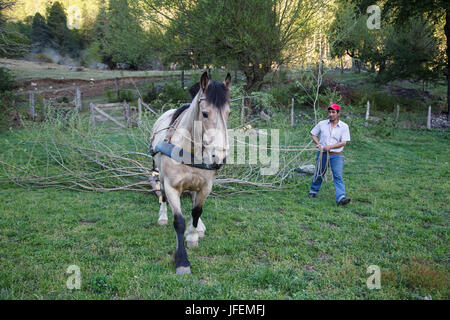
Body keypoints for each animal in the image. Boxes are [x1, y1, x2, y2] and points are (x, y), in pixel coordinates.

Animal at [149, 71, 232, 274]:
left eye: (228, 113)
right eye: (205, 113)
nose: (219, 158)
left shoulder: (205, 186)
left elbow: (196, 211)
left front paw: (193, 236)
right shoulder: (171, 186)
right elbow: (178, 220)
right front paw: (182, 261)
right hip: (160, 176)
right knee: (162, 196)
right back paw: (163, 216)